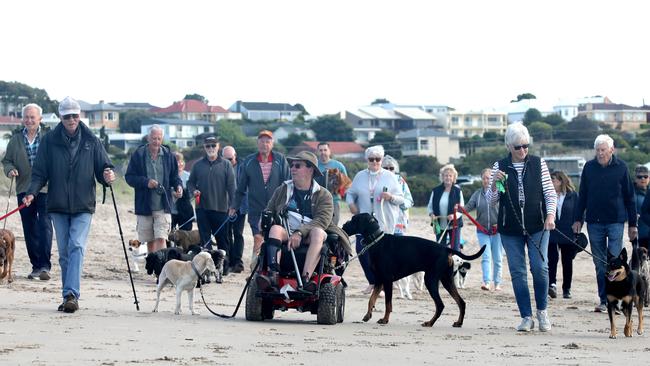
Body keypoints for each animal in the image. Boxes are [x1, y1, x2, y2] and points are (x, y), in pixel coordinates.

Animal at [342, 213, 484, 328]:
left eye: (353, 219)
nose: (343, 225)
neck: (377, 241)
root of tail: (446, 249)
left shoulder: (387, 280)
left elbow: (388, 303)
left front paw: (385, 319)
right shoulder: (379, 280)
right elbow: (371, 299)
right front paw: (368, 315)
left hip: (430, 280)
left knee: (440, 305)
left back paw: (430, 323)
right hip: (447, 280)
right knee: (461, 302)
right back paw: (458, 322)